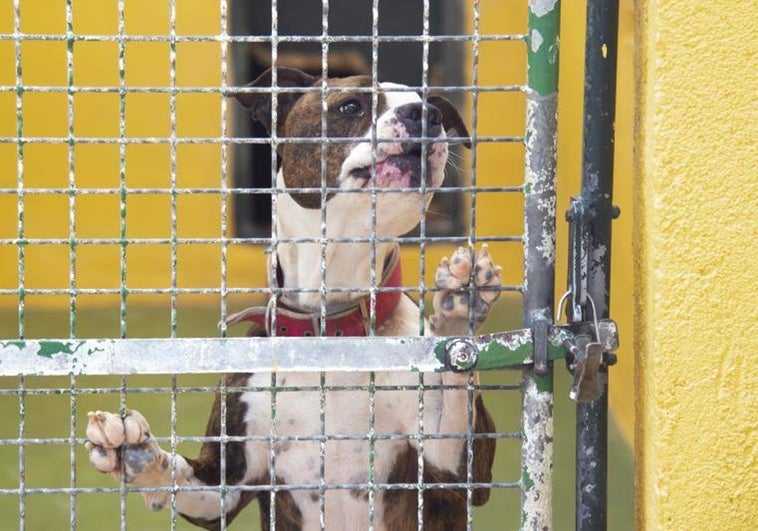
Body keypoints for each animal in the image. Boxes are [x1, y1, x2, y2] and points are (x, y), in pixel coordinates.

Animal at [84, 67, 504, 531]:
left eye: (432, 109)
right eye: (351, 106)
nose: (425, 114)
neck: (331, 327)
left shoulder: (456, 468)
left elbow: (453, 391)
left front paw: (458, 310)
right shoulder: (224, 486)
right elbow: (182, 477)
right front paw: (135, 454)